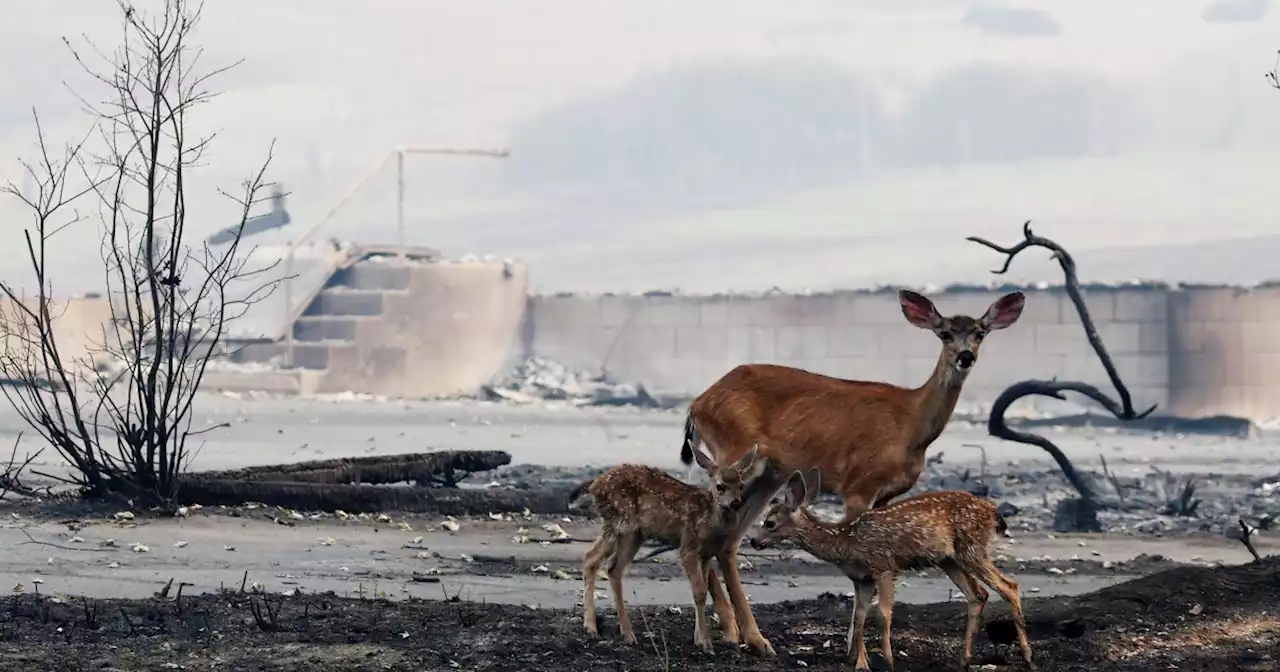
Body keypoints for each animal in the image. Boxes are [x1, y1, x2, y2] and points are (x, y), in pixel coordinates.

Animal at [675, 286, 1024, 519]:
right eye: (945, 333)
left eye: (980, 333)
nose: (965, 356)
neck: (912, 429)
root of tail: (696, 405)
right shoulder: (860, 483)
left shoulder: (886, 494)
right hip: (735, 448)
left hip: (765, 470)